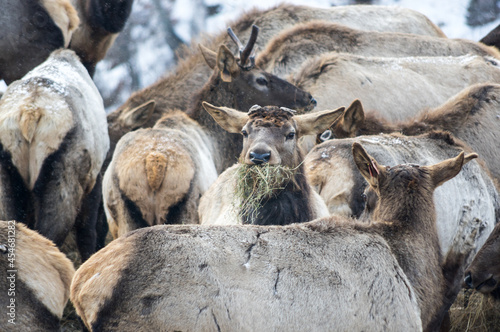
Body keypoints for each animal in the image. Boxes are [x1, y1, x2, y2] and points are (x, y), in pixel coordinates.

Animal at [0, 50, 108, 262]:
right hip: (61, 176)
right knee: (50, 233)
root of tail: (30, 113)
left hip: (7, 177)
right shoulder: (93, 178)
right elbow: (87, 231)